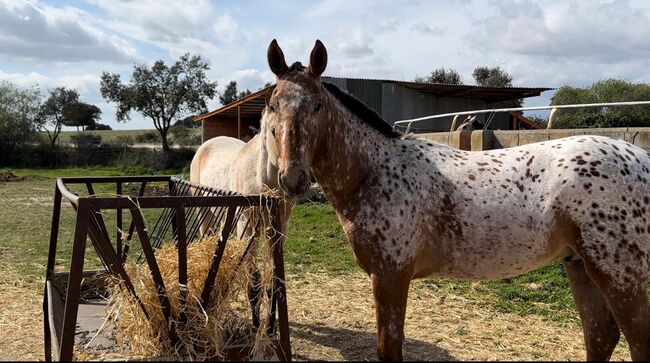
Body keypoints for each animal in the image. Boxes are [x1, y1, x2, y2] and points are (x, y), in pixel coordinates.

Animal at [260, 39, 648, 362]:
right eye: (273, 104)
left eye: (317, 105)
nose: (292, 178)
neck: (375, 171)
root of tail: (640, 158)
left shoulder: (390, 277)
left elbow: (389, 349)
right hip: (579, 265)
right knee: (600, 336)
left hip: (619, 274)